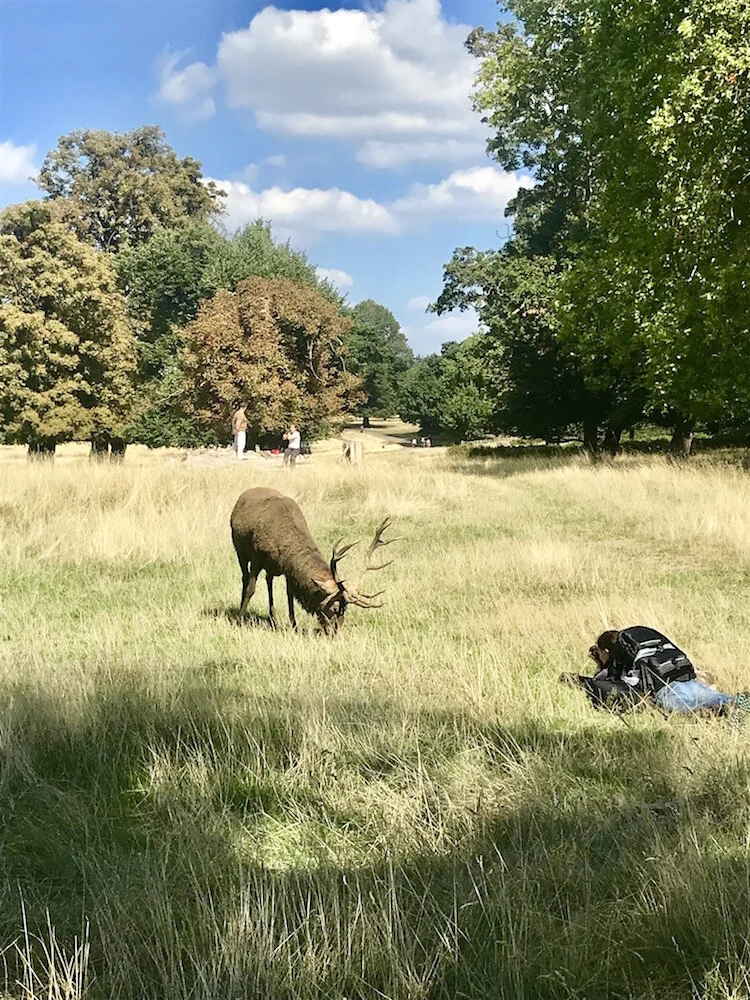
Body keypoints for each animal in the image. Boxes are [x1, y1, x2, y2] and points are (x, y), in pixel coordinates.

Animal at [230, 487, 397, 634]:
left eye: (345, 609)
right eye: (334, 608)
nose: (335, 632)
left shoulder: (288, 569)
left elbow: (290, 596)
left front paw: (294, 626)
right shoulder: (257, 556)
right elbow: (251, 589)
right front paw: (239, 620)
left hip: (270, 567)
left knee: (268, 581)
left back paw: (272, 618)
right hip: (240, 551)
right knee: (245, 577)